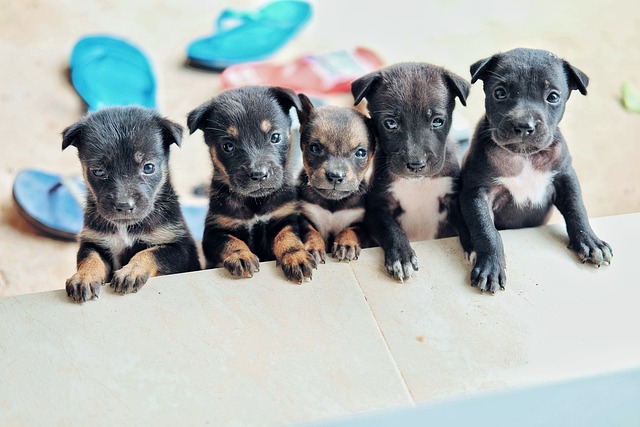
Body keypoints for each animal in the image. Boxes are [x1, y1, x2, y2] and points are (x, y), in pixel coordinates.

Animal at [62, 106, 200, 302]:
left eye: (148, 167)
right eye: (98, 171)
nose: (124, 206)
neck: (125, 228)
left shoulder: (181, 248)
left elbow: (151, 252)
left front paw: (130, 272)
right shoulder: (93, 242)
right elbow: (90, 259)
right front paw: (83, 277)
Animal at [186, 86, 316, 284]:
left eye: (275, 137)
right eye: (228, 146)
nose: (259, 175)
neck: (255, 202)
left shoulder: (285, 217)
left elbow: (287, 236)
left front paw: (296, 257)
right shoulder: (214, 232)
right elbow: (230, 241)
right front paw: (241, 256)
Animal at [296, 93, 376, 264]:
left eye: (361, 153)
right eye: (314, 148)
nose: (335, 176)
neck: (332, 202)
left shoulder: (361, 224)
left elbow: (351, 229)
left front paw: (346, 244)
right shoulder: (305, 218)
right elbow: (311, 231)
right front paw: (313, 247)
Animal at [350, 62, 470, 280]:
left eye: (437, 121)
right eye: (390, 123)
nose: (416, 165)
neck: (418, 183)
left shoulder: (452, 199)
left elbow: (467, 221)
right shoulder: (376, 210)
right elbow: (391, 229)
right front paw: (401, 256)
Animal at [458, 47, 612, 294]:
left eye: (553, 97)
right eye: (499, 93)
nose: (523, 126)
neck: (525, 156)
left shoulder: (565, 178)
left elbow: (577, 208)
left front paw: (590, 241)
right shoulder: (477, 192)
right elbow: (486, 230)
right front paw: (491, 266)